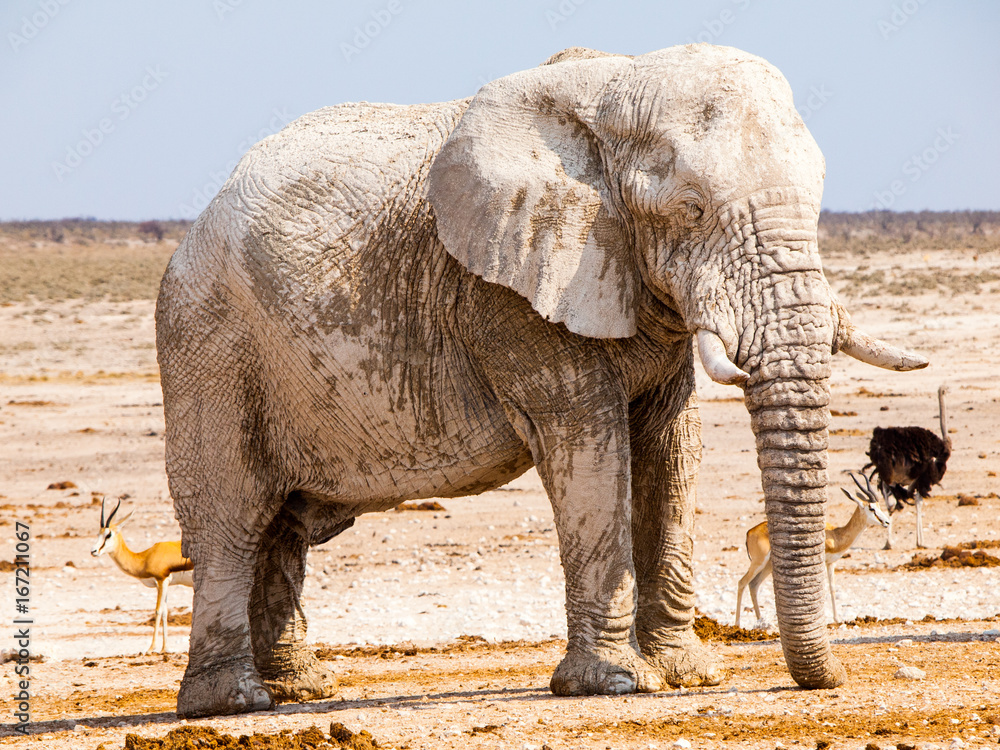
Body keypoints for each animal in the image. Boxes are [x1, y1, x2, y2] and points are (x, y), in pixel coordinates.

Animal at [155, 44, 927, 719]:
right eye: (692, 211)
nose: (830, 681)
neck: (614, 95)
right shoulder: (508, 294)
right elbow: (588, 447)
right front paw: (615, 685)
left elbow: (671, 451)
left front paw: (687, 674)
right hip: (209, 345)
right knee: (232, 520)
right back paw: (232, 703)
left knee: (283, 528)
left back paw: (302, 690)